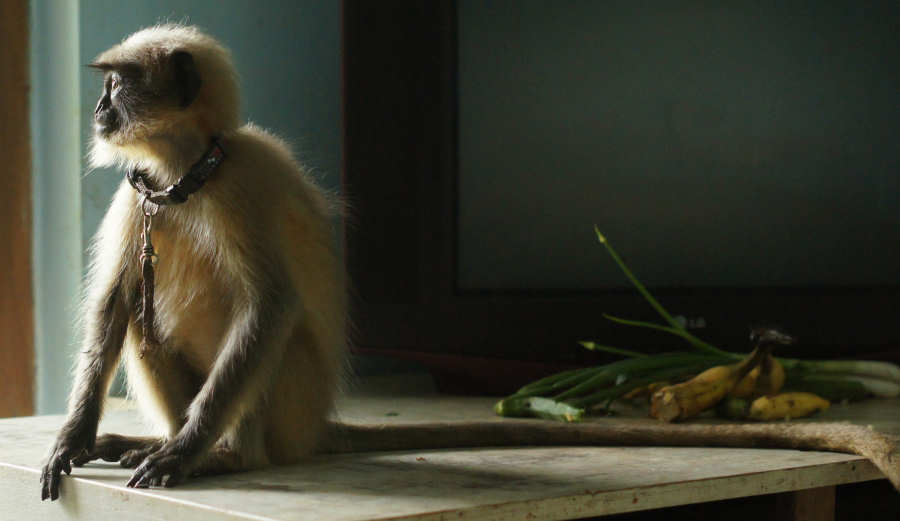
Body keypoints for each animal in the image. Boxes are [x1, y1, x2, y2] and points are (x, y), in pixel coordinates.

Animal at [40, 25, 899, 501]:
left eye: (119, 85)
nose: (99, 110)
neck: (190, 178)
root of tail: (315, 424)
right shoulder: (140, 194)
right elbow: (112, 307)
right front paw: (76, 437)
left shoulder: (239, 183)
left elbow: (272, 308)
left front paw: (184, 451)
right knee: (141, 318)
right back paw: (144, 441)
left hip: (286, 401)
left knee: (266, 341)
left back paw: (217, 454)